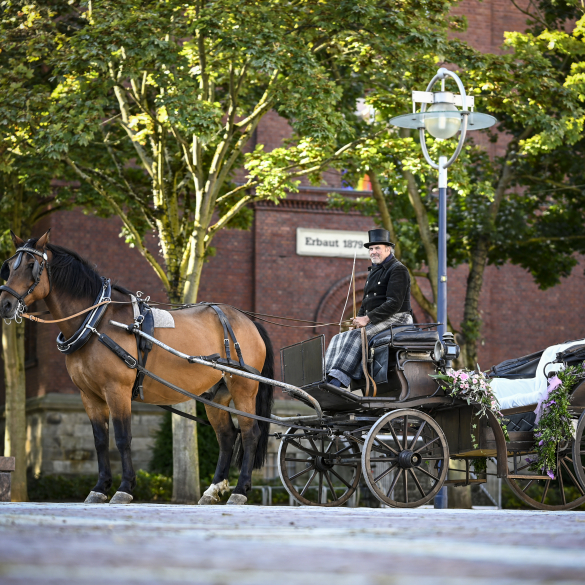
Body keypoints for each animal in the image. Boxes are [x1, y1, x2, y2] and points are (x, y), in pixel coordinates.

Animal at [0, 230, 274, 504]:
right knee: (227, 436)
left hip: (243, 388)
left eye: (31, 265)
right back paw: (212, 490)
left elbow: (122, 438)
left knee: (250, 433)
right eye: (9, 267)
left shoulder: (117, 389)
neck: (95, 322)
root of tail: (247, 321)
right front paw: (99, 488)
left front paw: (124, 488)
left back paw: (240, 490)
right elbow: (100, 440)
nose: (5, 304)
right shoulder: (89, 395)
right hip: (215, 395)